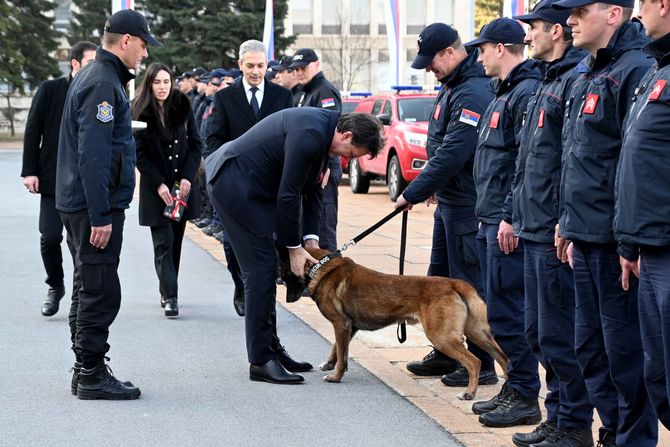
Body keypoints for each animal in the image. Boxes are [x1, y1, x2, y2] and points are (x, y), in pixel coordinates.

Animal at [282, 248, 510, 402]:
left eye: (285, 274)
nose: (286, 299)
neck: (320, 266)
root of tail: (454, 283)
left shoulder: (341, 325)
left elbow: (341, 356)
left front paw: (336, 376)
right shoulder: (348, 327)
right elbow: (337, 349)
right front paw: (329, 364)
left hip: (442, 337)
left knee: (474, 362)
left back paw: (470, 393)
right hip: (477, 333)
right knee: (503, 358)